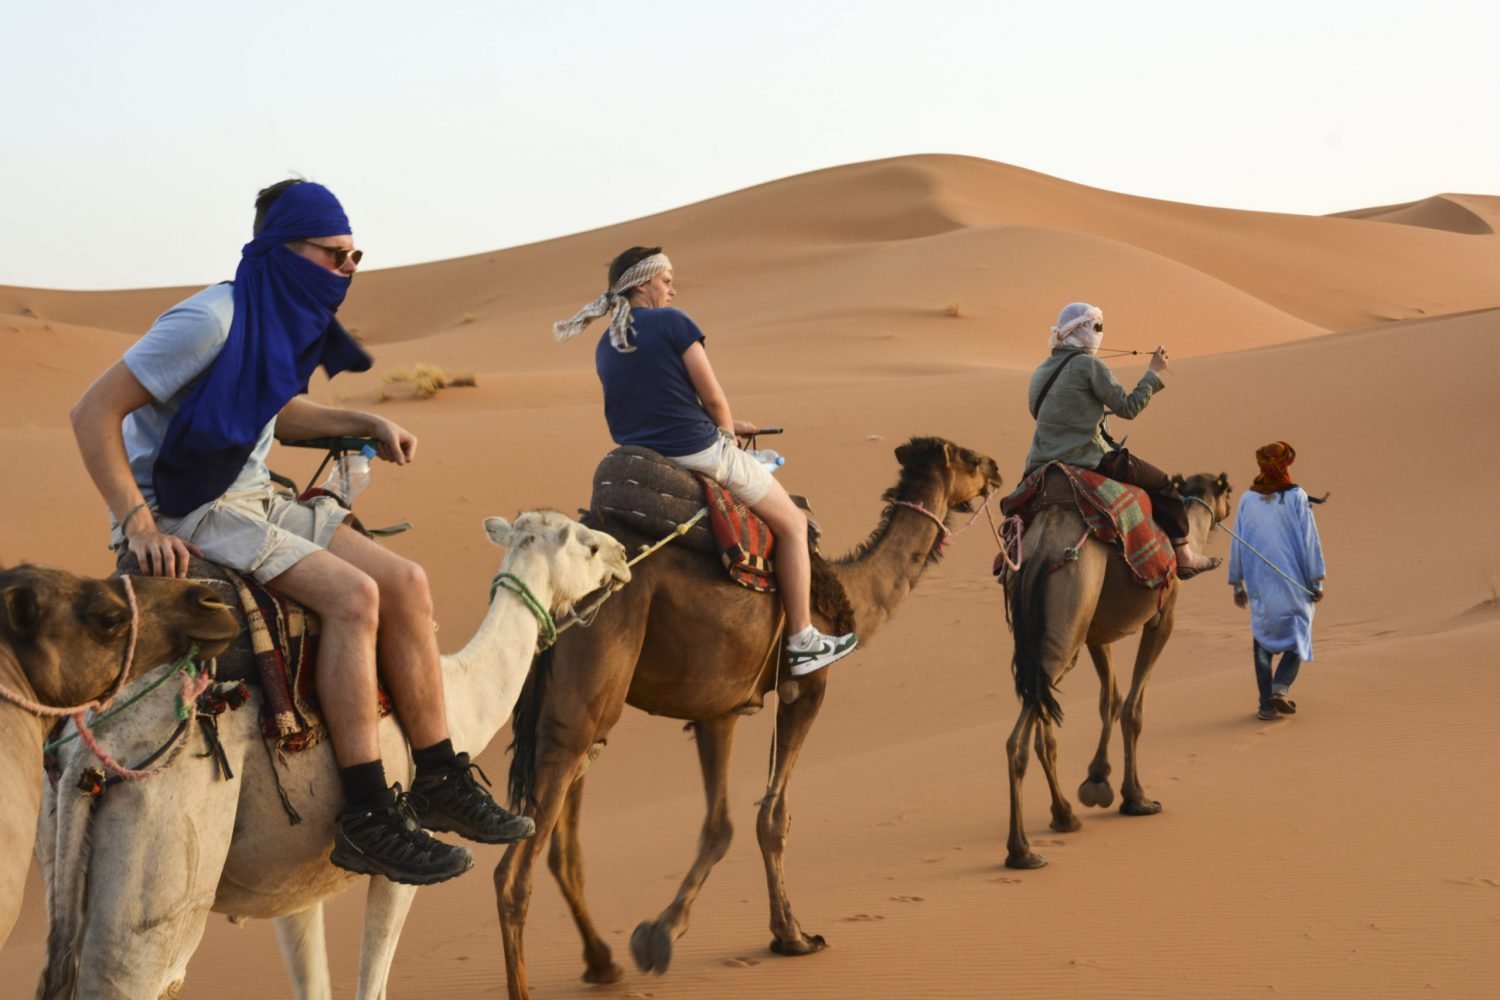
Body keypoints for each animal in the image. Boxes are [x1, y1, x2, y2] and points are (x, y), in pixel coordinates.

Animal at [38, 515, 630, 1000]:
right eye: (587, 546)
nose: (623, 554)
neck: (460, 693)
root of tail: (90, 758)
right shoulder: (403, 869)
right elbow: (374, 983)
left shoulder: (291, 886)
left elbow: (314, 982)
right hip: (163, 856)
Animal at [498, 437, 1002, 1000]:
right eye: (970, 458)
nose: (998, 471)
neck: (853, 592)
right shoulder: (806, 689)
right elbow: (773, 818)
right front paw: (792, 936)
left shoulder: (719, 708)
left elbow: (720, 824)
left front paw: (660, 934)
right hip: (584, 702)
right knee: (514, 873)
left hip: (574, 716)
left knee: (563, 851)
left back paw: (603, 963)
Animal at [996, 470, 1230, 869]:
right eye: (1227, 490)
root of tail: (1040, 550)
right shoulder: (1162, 617)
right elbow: (1133, 707)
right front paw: (1135, 797)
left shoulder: (1096, 634)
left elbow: (1110, 700)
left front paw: (1097, 780)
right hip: (1068, 615)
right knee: (1017, 741)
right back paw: (1022, 850)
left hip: (1053, 631)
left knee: (1040, 713)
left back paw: (1063, 815)